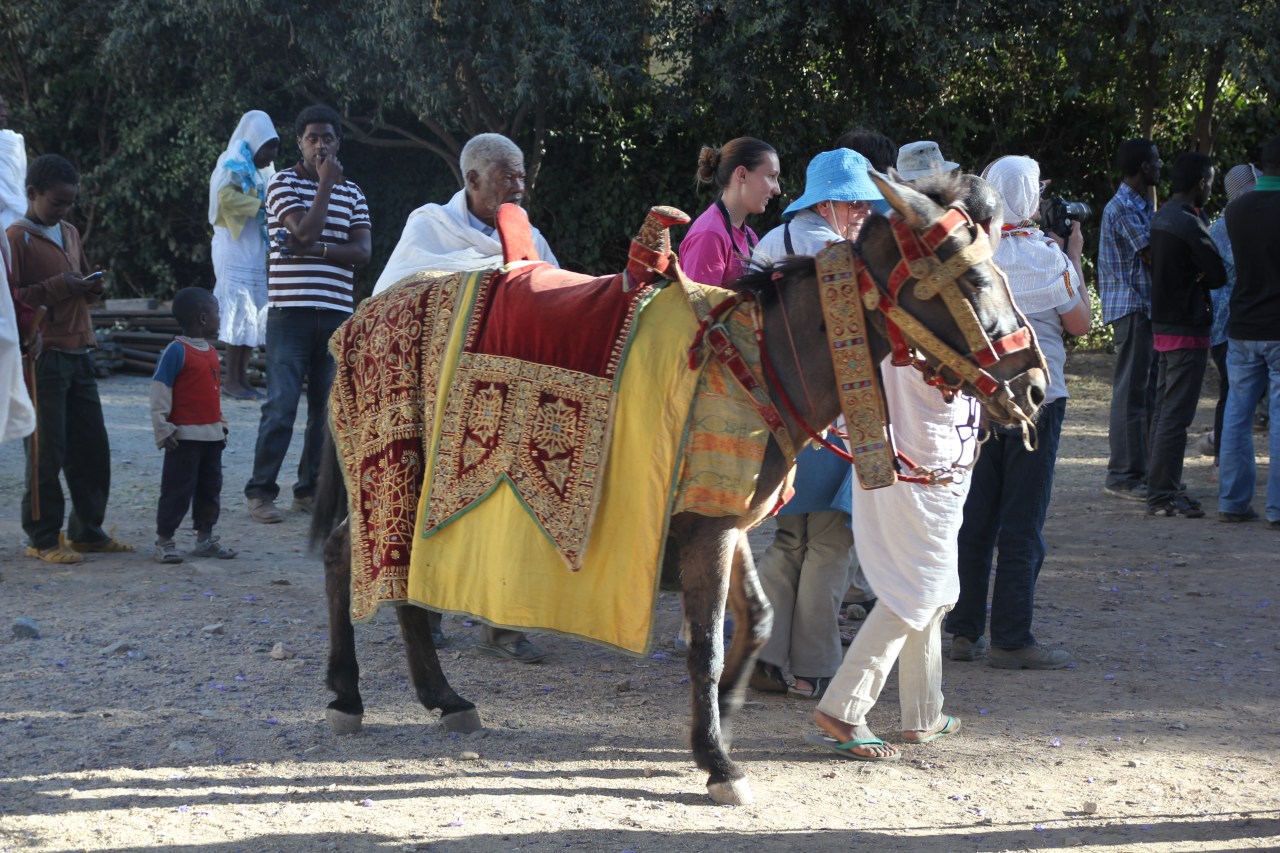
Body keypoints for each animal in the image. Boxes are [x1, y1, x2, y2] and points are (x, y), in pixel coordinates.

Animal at [310, 171, 1048, 806]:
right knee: (350, 554)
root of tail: (360, 314)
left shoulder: (723, 517)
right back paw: (348, 696)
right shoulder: (708, 527)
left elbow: (759, 616)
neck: (761, 359)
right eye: (975, 277)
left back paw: (443, 698)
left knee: (389, 571)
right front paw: (718, 759)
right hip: (391, 473)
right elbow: (707, 643)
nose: (1034, 385)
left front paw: (724, 714)